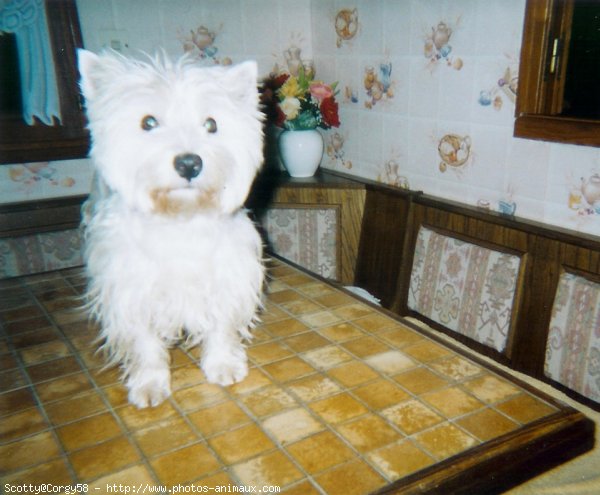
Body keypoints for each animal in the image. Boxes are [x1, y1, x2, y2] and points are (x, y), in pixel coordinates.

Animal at [76, 48, 264, 408]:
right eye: (148, 122)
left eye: (211, 124)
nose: (189, 163)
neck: (180, 219)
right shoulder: (130, 291)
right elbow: (144, 343)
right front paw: (149, 385)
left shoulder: (226, 276)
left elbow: (221, 325)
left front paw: (223, 366)